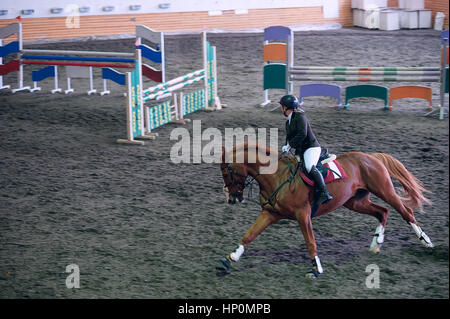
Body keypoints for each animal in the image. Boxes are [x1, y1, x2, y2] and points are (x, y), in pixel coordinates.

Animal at [216, 144, 434, 278]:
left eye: (227, 171)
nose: (232, 199)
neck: (277, 176)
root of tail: (370, 157)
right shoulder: (270, 214)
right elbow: (249, 235)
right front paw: (229, 259)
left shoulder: (302, 214)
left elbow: (310, 242)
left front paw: (315, 269)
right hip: (355, 202)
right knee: (383, 212)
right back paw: (376, 243)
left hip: (384, 190)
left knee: (405, 212)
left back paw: (426, 241)